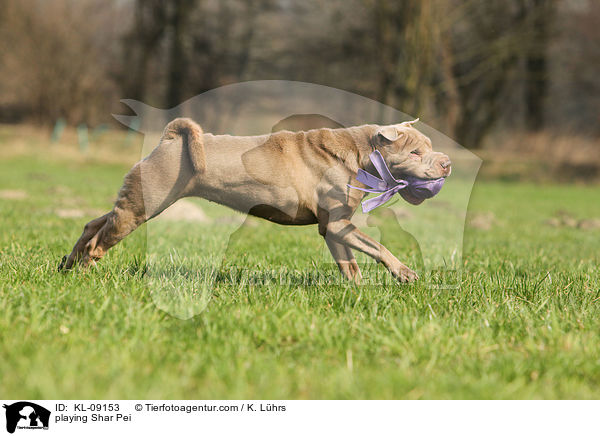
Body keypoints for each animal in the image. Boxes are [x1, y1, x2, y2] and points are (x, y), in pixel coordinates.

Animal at [59, 119, 450, 282]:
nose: (447, 163)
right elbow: (378, 247)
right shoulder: (340, 223)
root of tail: (170, 138)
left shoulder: (334, 227)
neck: (360, 154)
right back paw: (87, 271)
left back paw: (68, 264)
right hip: (146, 205)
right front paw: (405, 273)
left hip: (137, 200)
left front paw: (356, 290)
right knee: (101, 239)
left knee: (95, 223)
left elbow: (349, 263)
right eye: (415, 152)